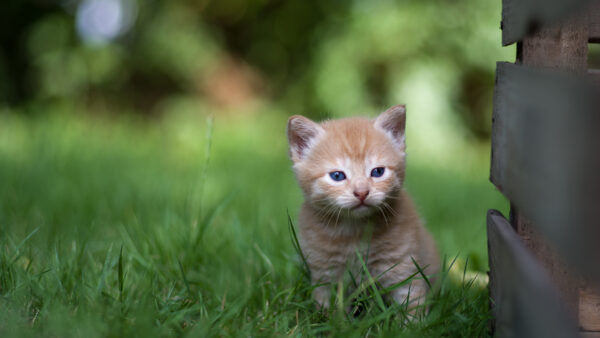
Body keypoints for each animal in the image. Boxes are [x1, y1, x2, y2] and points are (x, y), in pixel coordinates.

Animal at [284, 105, 438, 312]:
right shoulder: (324, 274)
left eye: (378, 172)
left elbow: (411, 303)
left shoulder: (404, 268)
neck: (354, 232)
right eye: (337, 176)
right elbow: (328, 308)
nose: (362, 192)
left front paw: (413, 321)